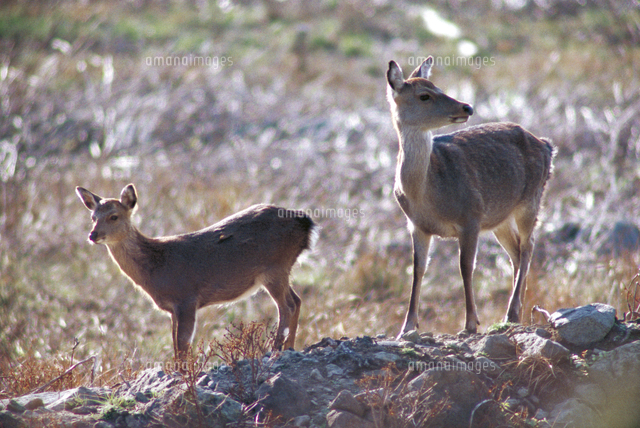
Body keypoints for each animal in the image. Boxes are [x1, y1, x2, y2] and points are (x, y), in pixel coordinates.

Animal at [76, 183, 315, 361]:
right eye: (93, 217)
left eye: (114, 216)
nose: (93, 235)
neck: (155, 267)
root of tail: (305, 221)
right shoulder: (173, 309)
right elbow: (175, 344)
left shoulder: (187, 298)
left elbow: (183, 345)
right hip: (281, 269)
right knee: (297, 300)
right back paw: (290, 347)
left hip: (274, 267)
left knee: (287, 305)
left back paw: (276, 350)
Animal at [386, 56, 554, 336]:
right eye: (424, 95)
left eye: (438, 86)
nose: (467, 107)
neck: (427, 193)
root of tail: (547, 146)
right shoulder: (416, 225)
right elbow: (418, 269)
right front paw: (406, 327)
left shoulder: (471, 216)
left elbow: (466, 267)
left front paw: (470, 324)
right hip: (499, 217)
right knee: (516, 252)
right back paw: (516, 312)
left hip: (531, 199)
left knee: (528, 246)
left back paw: (511, 313)